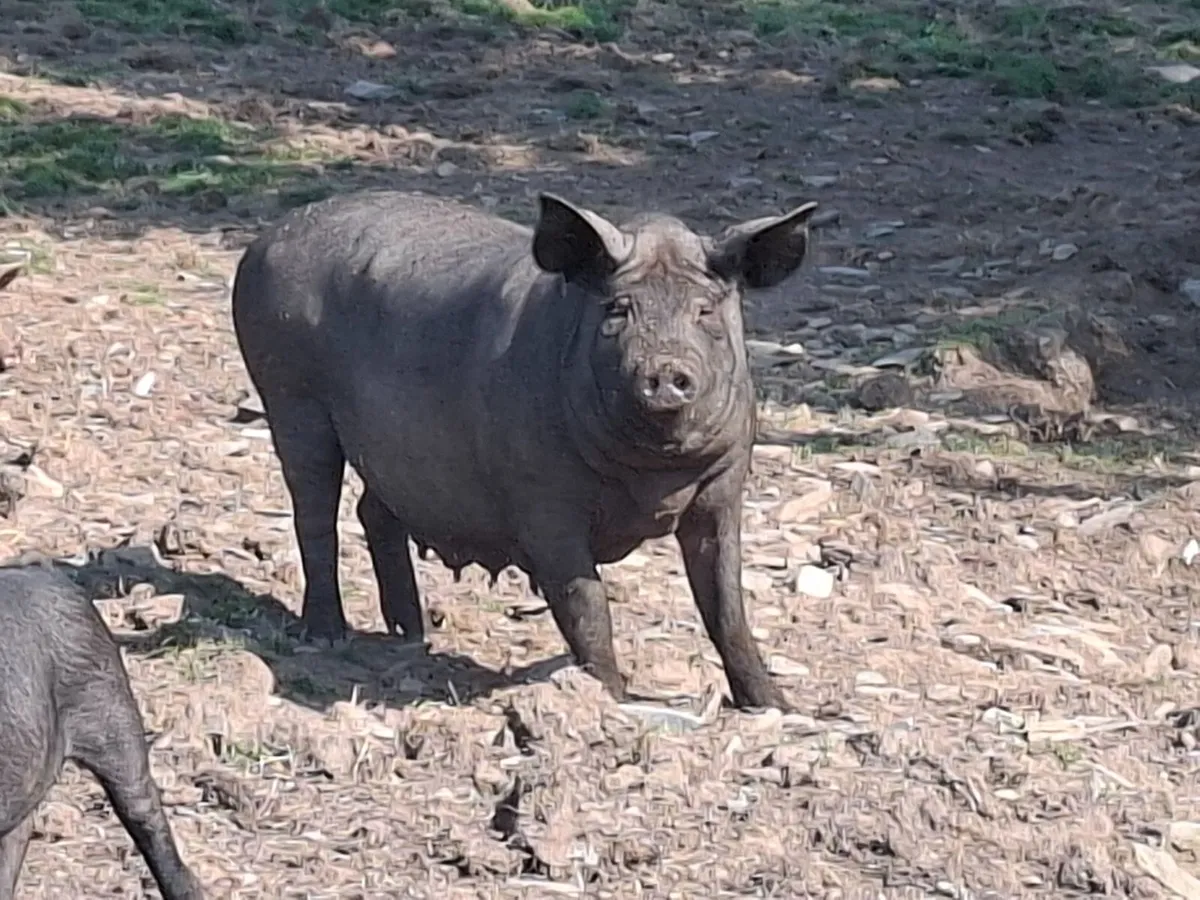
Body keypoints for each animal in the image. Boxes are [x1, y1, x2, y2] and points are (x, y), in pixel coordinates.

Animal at [231, 190, 818, 711]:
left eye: (705, 312)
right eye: (617, 310)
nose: (664, 369)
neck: (653, 475)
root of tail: (264, 240)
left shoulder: (724, 485)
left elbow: (726, 604)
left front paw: (779, 707)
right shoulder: (542, 500)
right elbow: (585, 604)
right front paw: (609, 699)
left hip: (393, 455)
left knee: (373, 511)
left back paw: (412, 635)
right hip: (290, 396)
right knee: (314, 513)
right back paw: (328, 635)